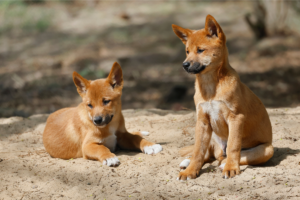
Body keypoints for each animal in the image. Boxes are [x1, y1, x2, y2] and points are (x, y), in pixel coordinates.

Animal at [172, 14, 274, 179]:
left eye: (200, 50)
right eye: (187, 51)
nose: (184, 65)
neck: (210, 88)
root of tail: (220, 151)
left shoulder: (236, 118)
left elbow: (233, 146)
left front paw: (231, 168)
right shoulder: (202, 121)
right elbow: (198, 151)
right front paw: (191, 171)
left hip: (267, 150)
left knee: (233, 156)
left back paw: (225, 164)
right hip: (211, 136)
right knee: (208, 155)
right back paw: (187, 163)